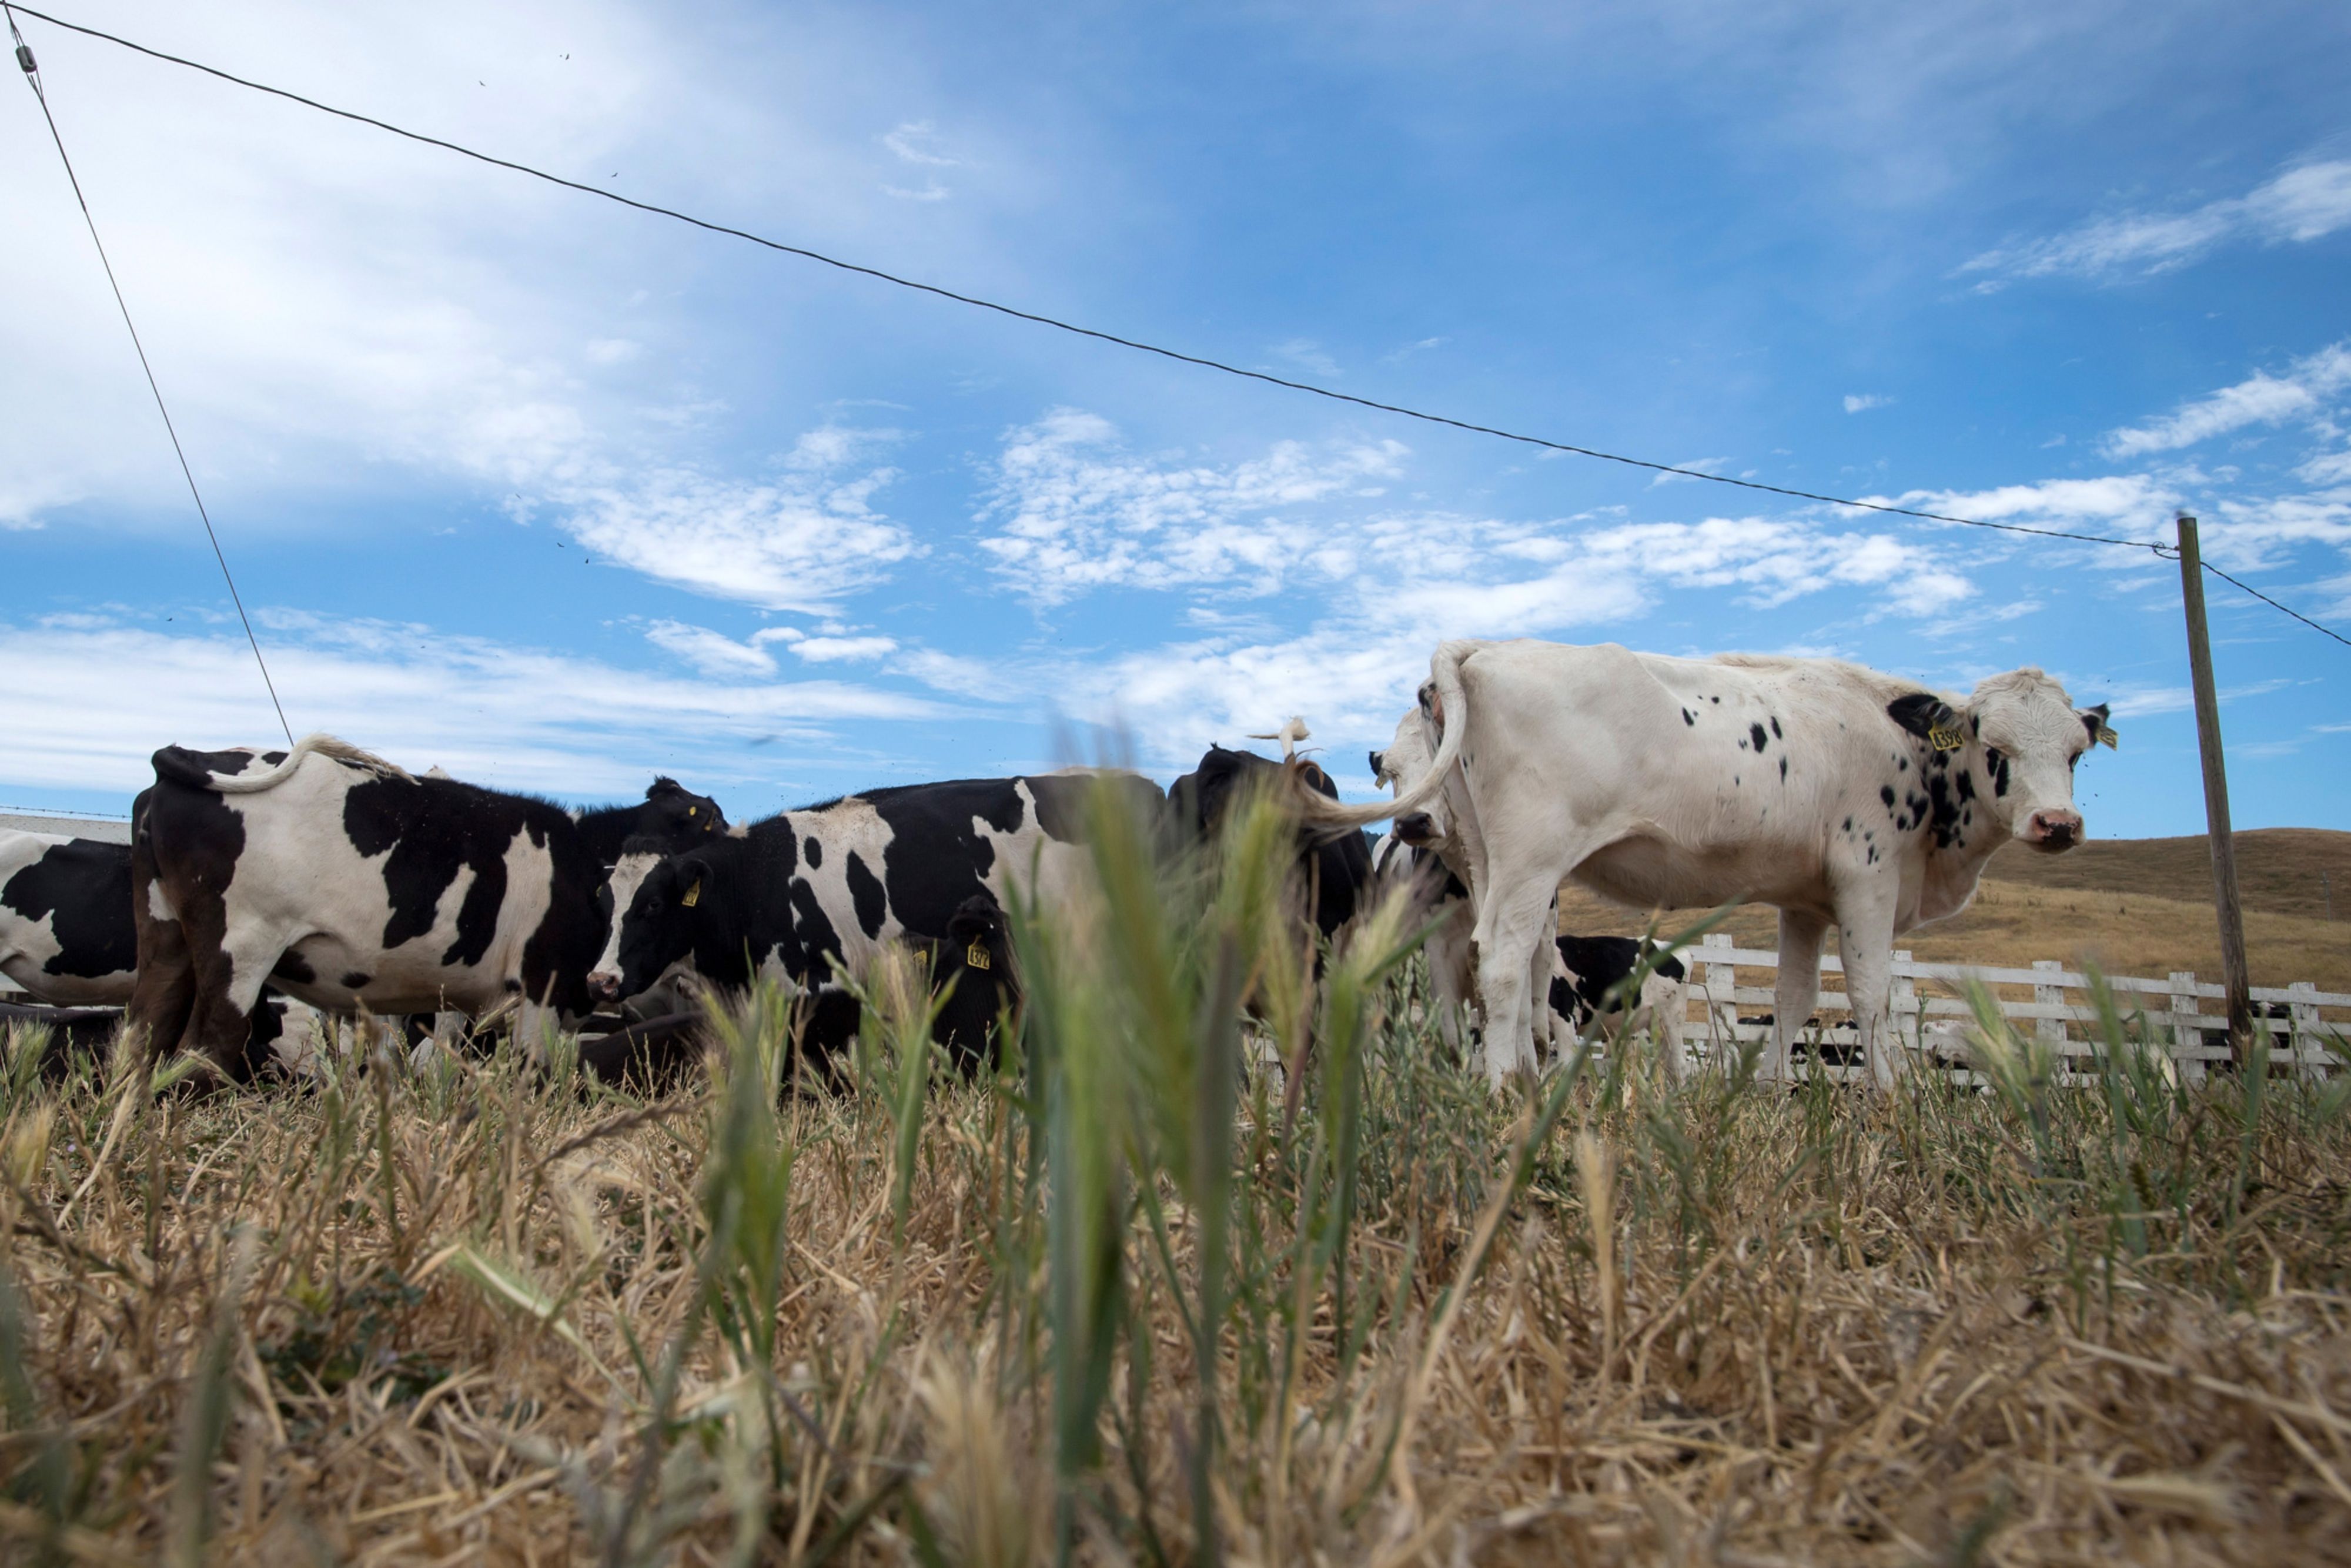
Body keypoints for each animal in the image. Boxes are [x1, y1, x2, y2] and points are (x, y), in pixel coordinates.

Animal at [128, 735, 727, 1085]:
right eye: (715, 822)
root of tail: (195, 759)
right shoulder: (541, 988)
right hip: (240, 951)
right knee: (203, 1052)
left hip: (165, 939)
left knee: (141, 1041)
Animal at [1301, 640, 2111, 1087]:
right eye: (1992, 745)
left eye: (2077, 752)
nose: (2059, 824)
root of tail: (1484, 649)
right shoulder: (1869, 878)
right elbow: (1872, 996)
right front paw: (1891, 1099)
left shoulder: (1805, 901)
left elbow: (1794, 1001)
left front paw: (1778, 1094)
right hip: (1532, 859)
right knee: (1501, 961)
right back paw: (1505, 1089)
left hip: (1486, 857)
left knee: (1517, 970)